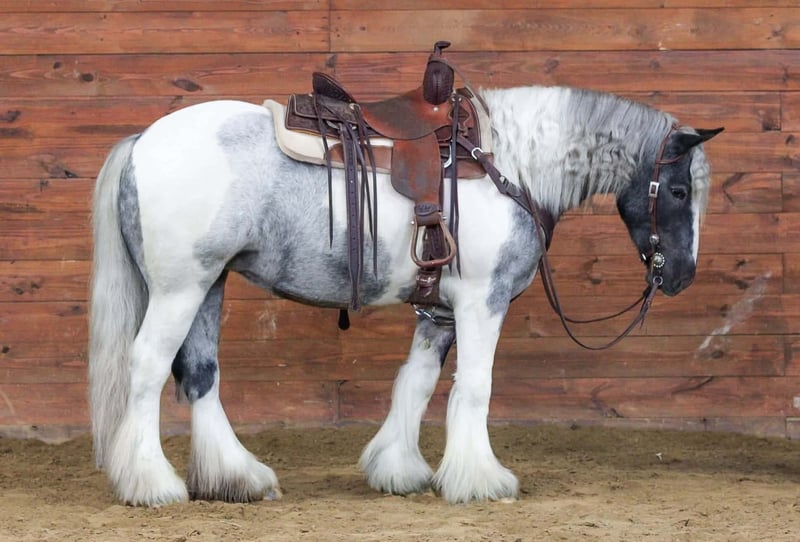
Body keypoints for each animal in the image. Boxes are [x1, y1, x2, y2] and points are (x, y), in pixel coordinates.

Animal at [89, 84, 722, 506]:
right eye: (680, 190)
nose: (681, 275)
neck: (509, 164)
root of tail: (142, 140)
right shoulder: (481, 303)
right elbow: (474, 387)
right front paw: (479, 479)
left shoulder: (439, 312)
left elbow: (414, 384)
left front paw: (398, 469)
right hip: (179, 289)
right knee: (148, 368)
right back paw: (152, 483)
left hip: (208, 284)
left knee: (200, 373)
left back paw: (236, 477)